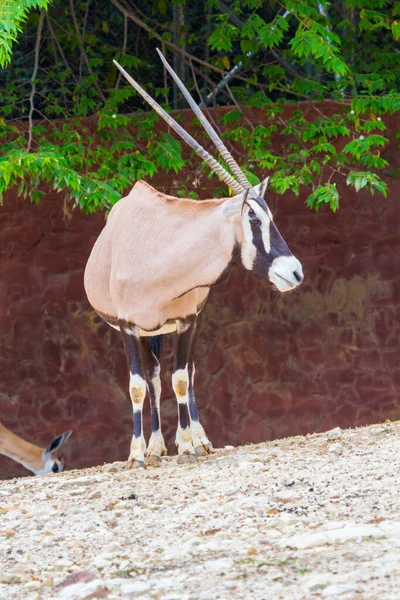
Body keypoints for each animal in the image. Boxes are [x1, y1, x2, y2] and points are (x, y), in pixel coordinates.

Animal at [84, 50, 304, 468]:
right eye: (254, 217)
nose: (295, 271)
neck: (158, 257)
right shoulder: (127, 327)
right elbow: (138, 385)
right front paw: (136, 453)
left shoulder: (188, 320)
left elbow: (182, 377)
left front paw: (188, 445)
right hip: (148, 333)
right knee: (154, 377)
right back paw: (154, 446)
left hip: (186, 324)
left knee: (185, 372)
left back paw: (196, 439)